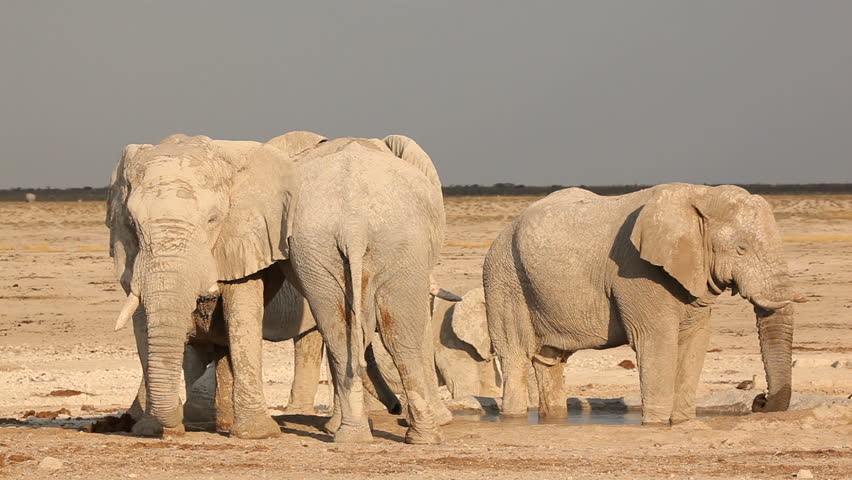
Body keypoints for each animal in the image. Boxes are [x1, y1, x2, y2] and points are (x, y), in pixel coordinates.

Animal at [106, 132, 326, 438]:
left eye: (213, 220)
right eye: (131, 223)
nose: (174, 428)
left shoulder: (247, 235)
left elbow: (241, 314)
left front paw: (257, 434)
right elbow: (143, 323)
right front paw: (148, 429)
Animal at [279, 134, 452, 444]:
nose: (394, 408)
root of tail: (353, 223)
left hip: (315, 247)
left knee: (338, 333)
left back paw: (351, 436)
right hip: (400, 245)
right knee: (401, 337)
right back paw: (426, 437)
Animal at [483, 183, 806, 425]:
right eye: (742, 249)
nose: (760, 400)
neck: (701, 194)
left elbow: (695, 339)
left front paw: (683, 423)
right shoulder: (637, 270)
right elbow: (656, 340)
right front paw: (656, 425)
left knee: (551, 360)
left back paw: (554, 419)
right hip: (504, 278)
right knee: (515, 355)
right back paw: (513, 419)